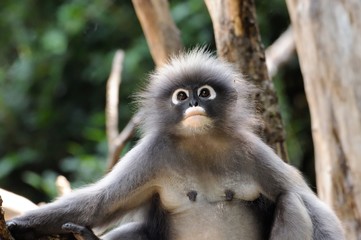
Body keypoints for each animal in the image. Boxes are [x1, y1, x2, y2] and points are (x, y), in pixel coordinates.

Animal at [6, 49, 344, 239]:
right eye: (181, 95)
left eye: (205, 92)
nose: (193, 102)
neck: (200, 143)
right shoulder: (151, 154)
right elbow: (97, 204)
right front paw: (19, 225)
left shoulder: (253, 150)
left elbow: (307, 201)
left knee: (292, 201)